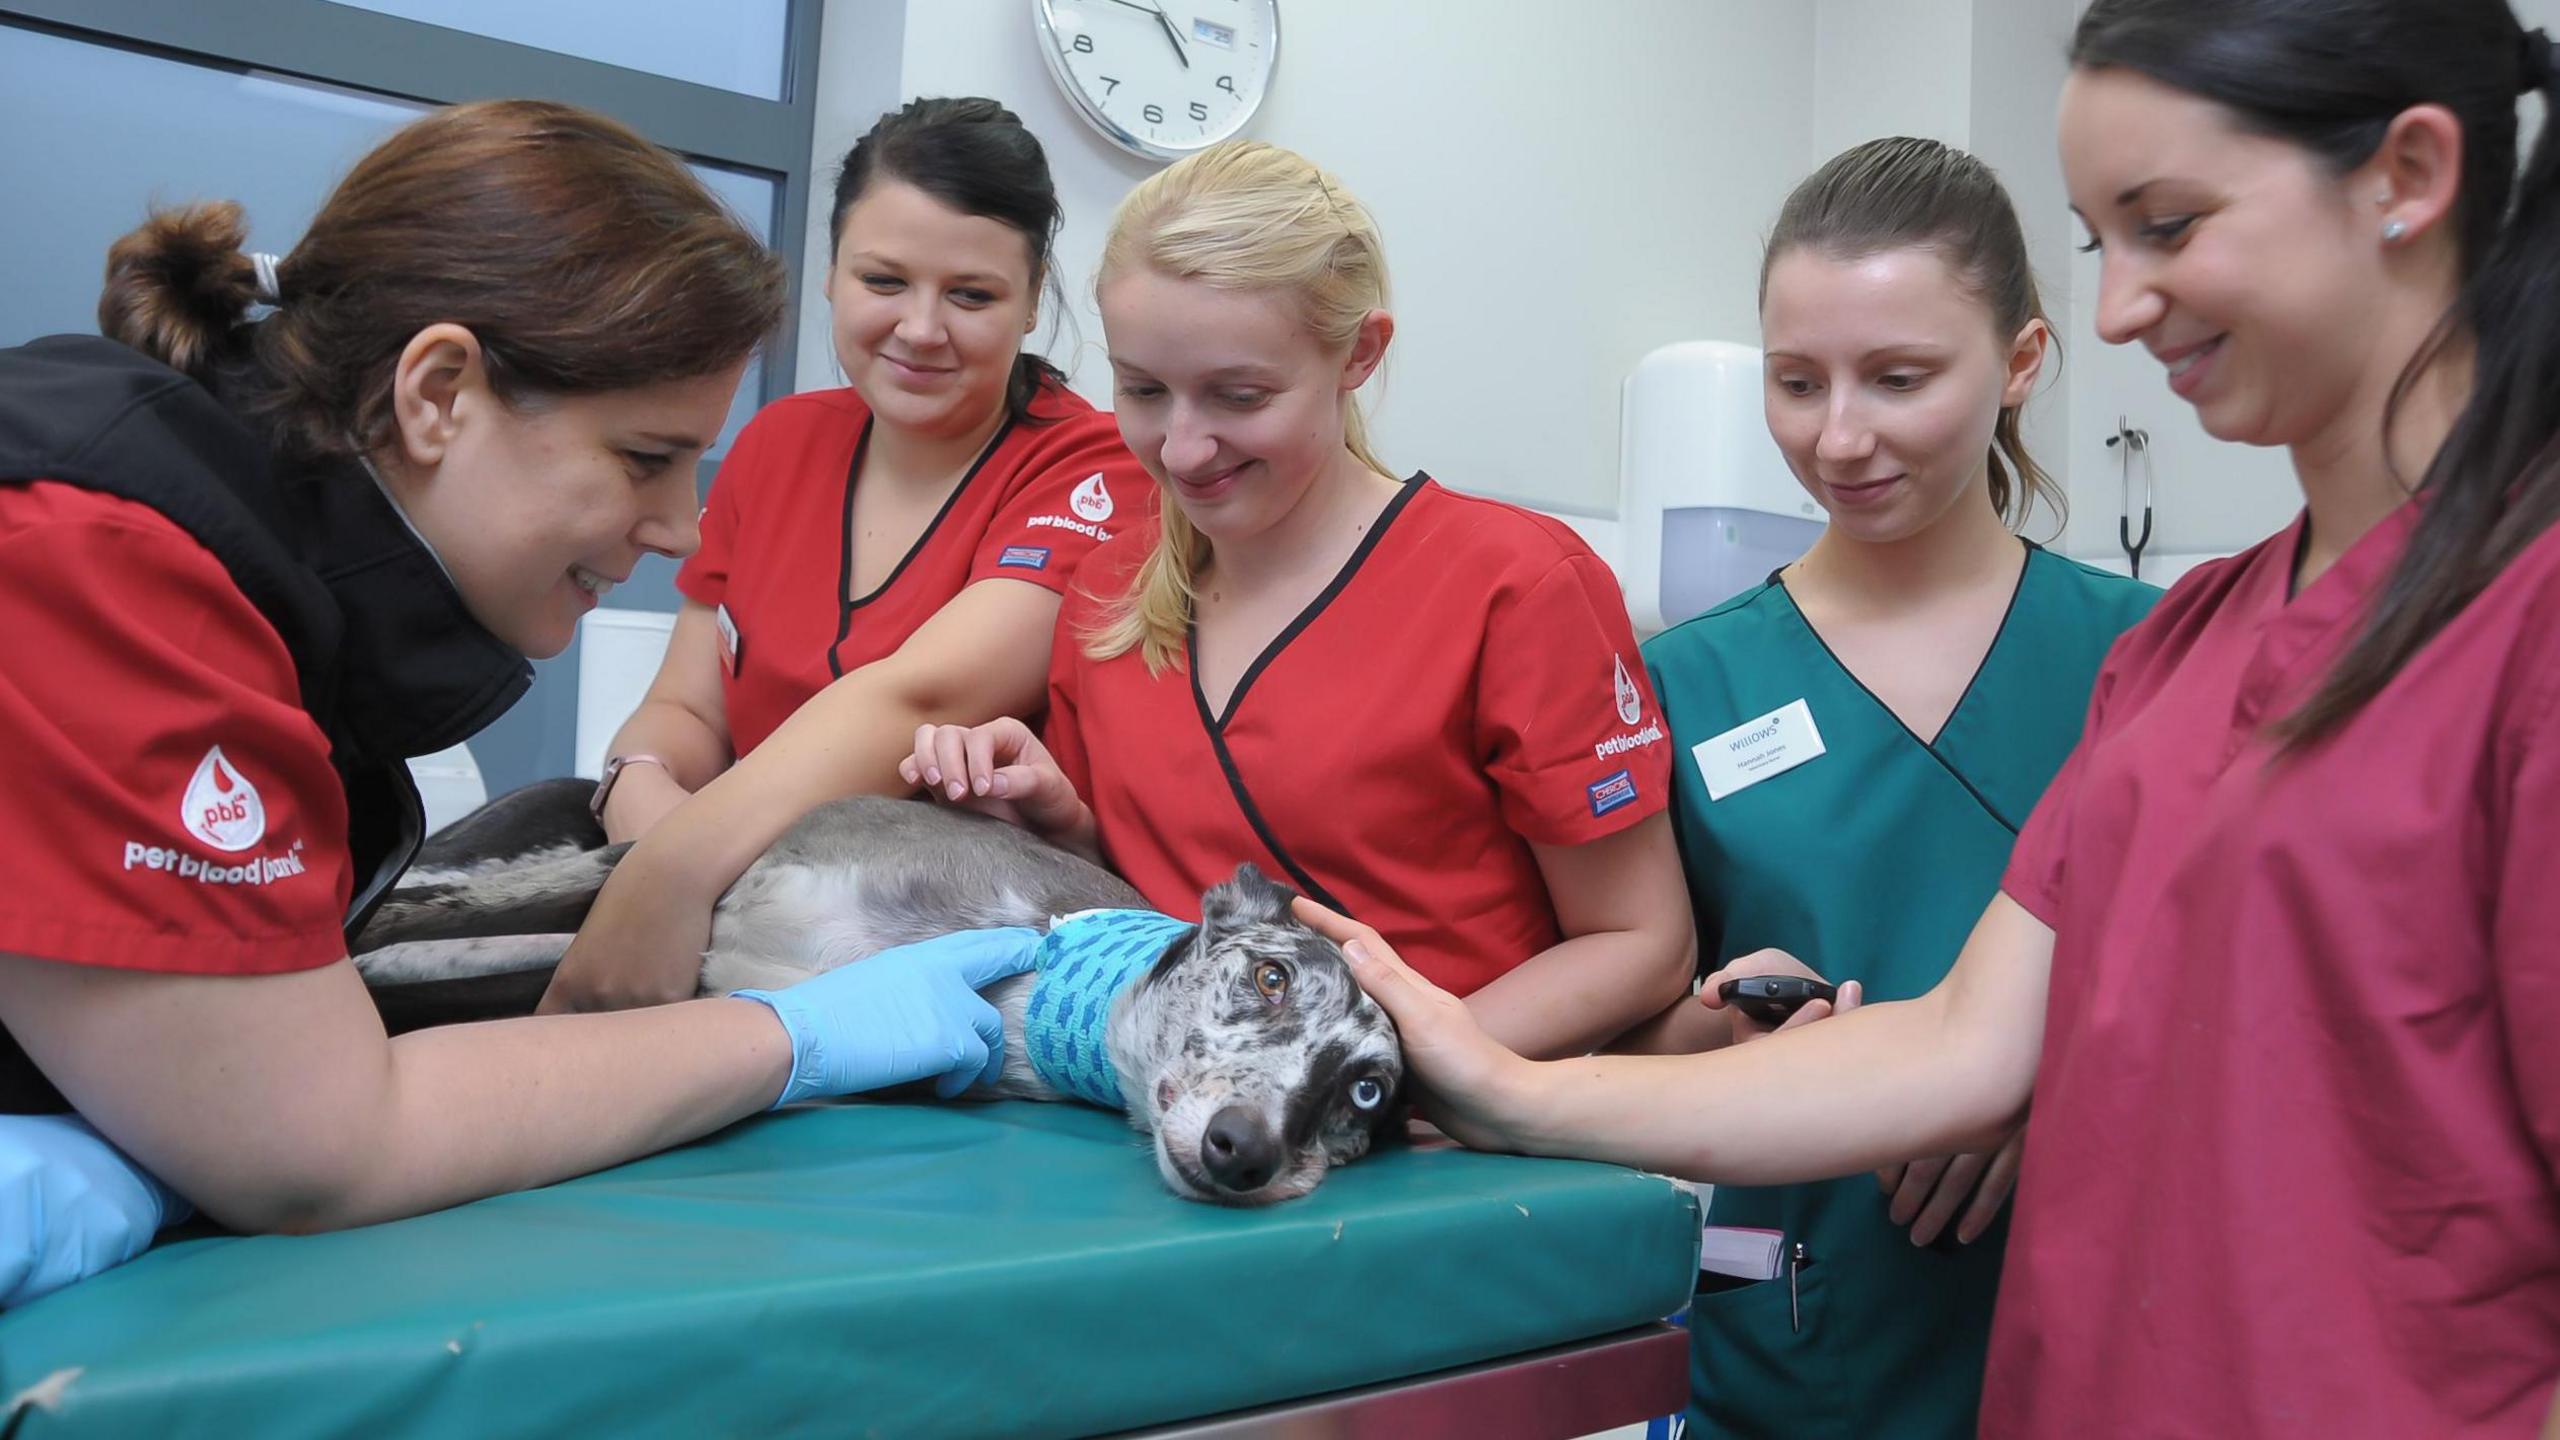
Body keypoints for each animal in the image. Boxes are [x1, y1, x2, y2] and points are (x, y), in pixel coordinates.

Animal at [353, 773, 1413, 1199]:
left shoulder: (692, 996)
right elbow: (422, 918)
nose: (1247, 1154)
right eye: (1272, 977)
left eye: (1368, 1092)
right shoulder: (661, 881)